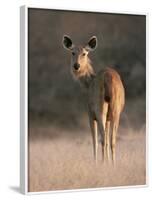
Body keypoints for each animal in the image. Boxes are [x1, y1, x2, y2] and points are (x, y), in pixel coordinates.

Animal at [62, 35, 124, 164]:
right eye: (72, 52)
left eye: (84, 53)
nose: (76, 66)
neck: (88, 83)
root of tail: (108, 79)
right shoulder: (108, 118)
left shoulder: (90, 114)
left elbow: (95, 141)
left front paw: (96, 163)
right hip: (116, 110)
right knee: (112, 140)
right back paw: (113, 164)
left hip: (99, 109)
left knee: (103, 139)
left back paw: (103, 163)